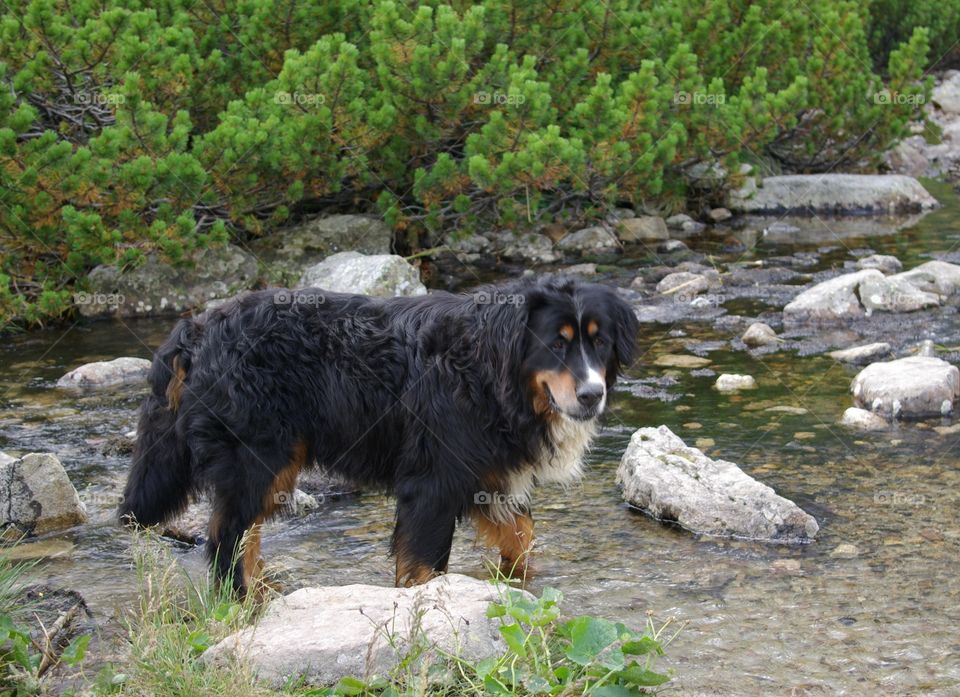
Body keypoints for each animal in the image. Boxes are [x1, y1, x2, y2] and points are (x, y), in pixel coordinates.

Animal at [118, 274, 636, 588]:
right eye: (556, 344)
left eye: (601, 342)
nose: (591, 394)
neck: (490, 371)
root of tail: (199, 328)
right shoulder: (433, 480)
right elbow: (424, 563)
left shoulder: (489, 473)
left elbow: (521, 537)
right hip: (255, 458)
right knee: (227, 541)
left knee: (248, 537)